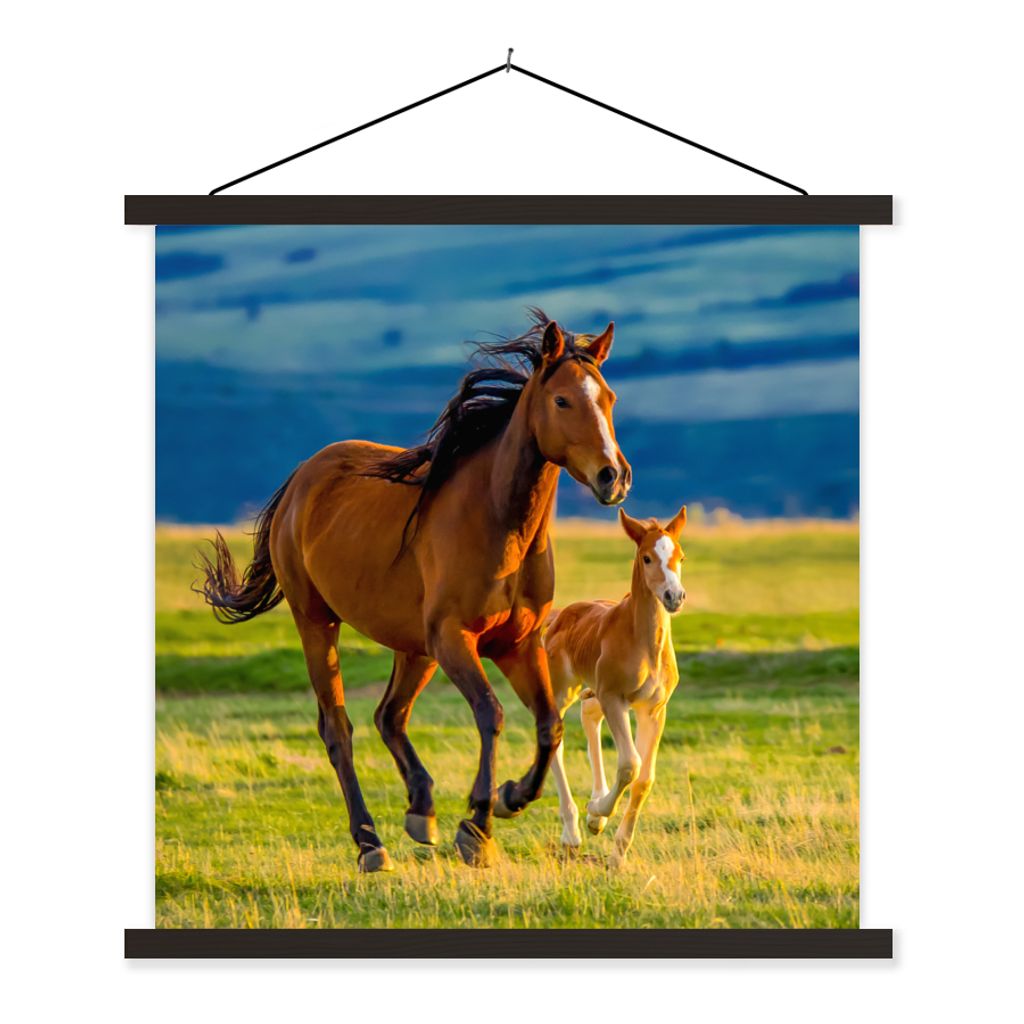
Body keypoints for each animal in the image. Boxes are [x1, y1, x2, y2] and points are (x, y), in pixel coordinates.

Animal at [196, 310, 631, 872]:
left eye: (609, 398)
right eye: (562, 401)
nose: (613, 477)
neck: (499, 525)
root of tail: (301, 479)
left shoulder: (517, 645)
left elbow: (549, 725)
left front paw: (510, 797)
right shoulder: (454, 639)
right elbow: (490, 714)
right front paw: (477, 826)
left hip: (414, 648)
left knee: (389, 716)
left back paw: (421, 810)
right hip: (319, 623)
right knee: (339, 729)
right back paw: (369, 842)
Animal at [543, 504, 687, 868]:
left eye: (680, 556)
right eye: (647, 558)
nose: (674, 597)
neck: (644, 642)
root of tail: (559, 615)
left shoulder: (654, 709)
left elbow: (645, 778)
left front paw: (617, 853)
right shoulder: (615, 698)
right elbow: (630, 764)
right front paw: (597, 811)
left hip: (593, 692)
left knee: (589, 716)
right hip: (563, 689)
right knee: (555, 737)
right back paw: (573, 832)